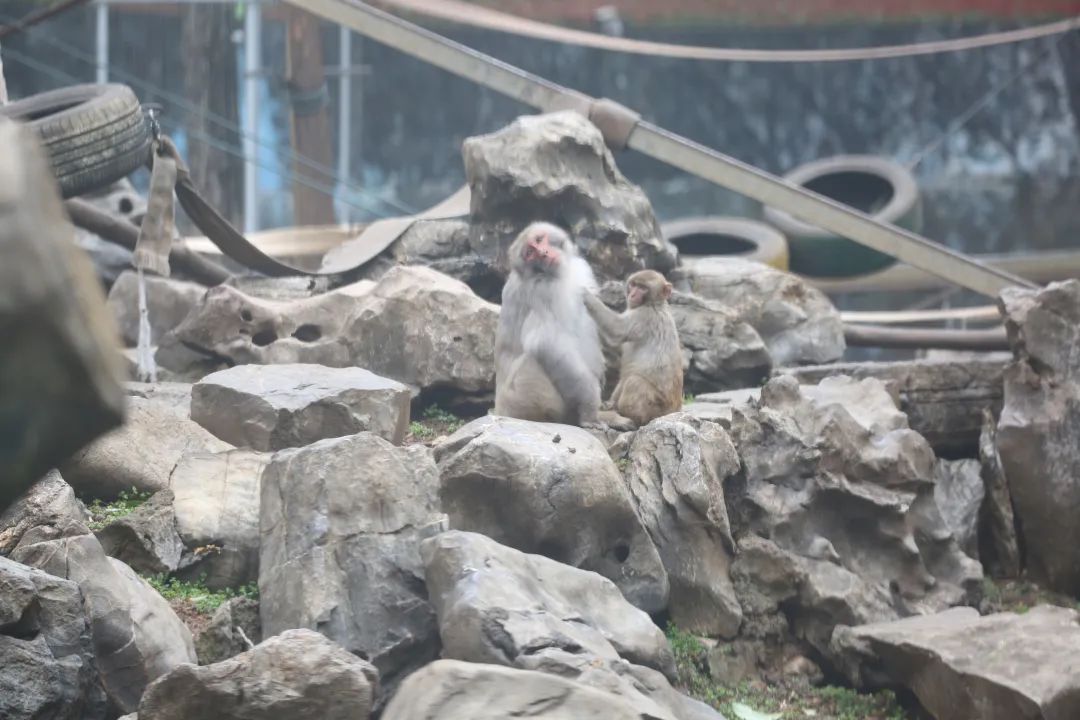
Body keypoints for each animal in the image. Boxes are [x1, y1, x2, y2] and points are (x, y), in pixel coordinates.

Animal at [494, 222, 608, 429]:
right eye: (530, 253)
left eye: (539, 240)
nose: (544, 253)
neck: (558, 274)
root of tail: (499, 410)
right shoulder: (542, 291)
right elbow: (546, 343)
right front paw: (591, 405)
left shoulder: (581, 268)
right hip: (519, 399)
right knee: (532, 359)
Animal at [583, 269, 684, 428]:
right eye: (634, 285)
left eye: (643, 288)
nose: (633, 294)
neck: (655, 304)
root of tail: (674, 410)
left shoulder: (644, 316)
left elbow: (616, 330)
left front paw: (585, 295)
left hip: (657, 407)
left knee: (634, 382)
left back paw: (629, 417)